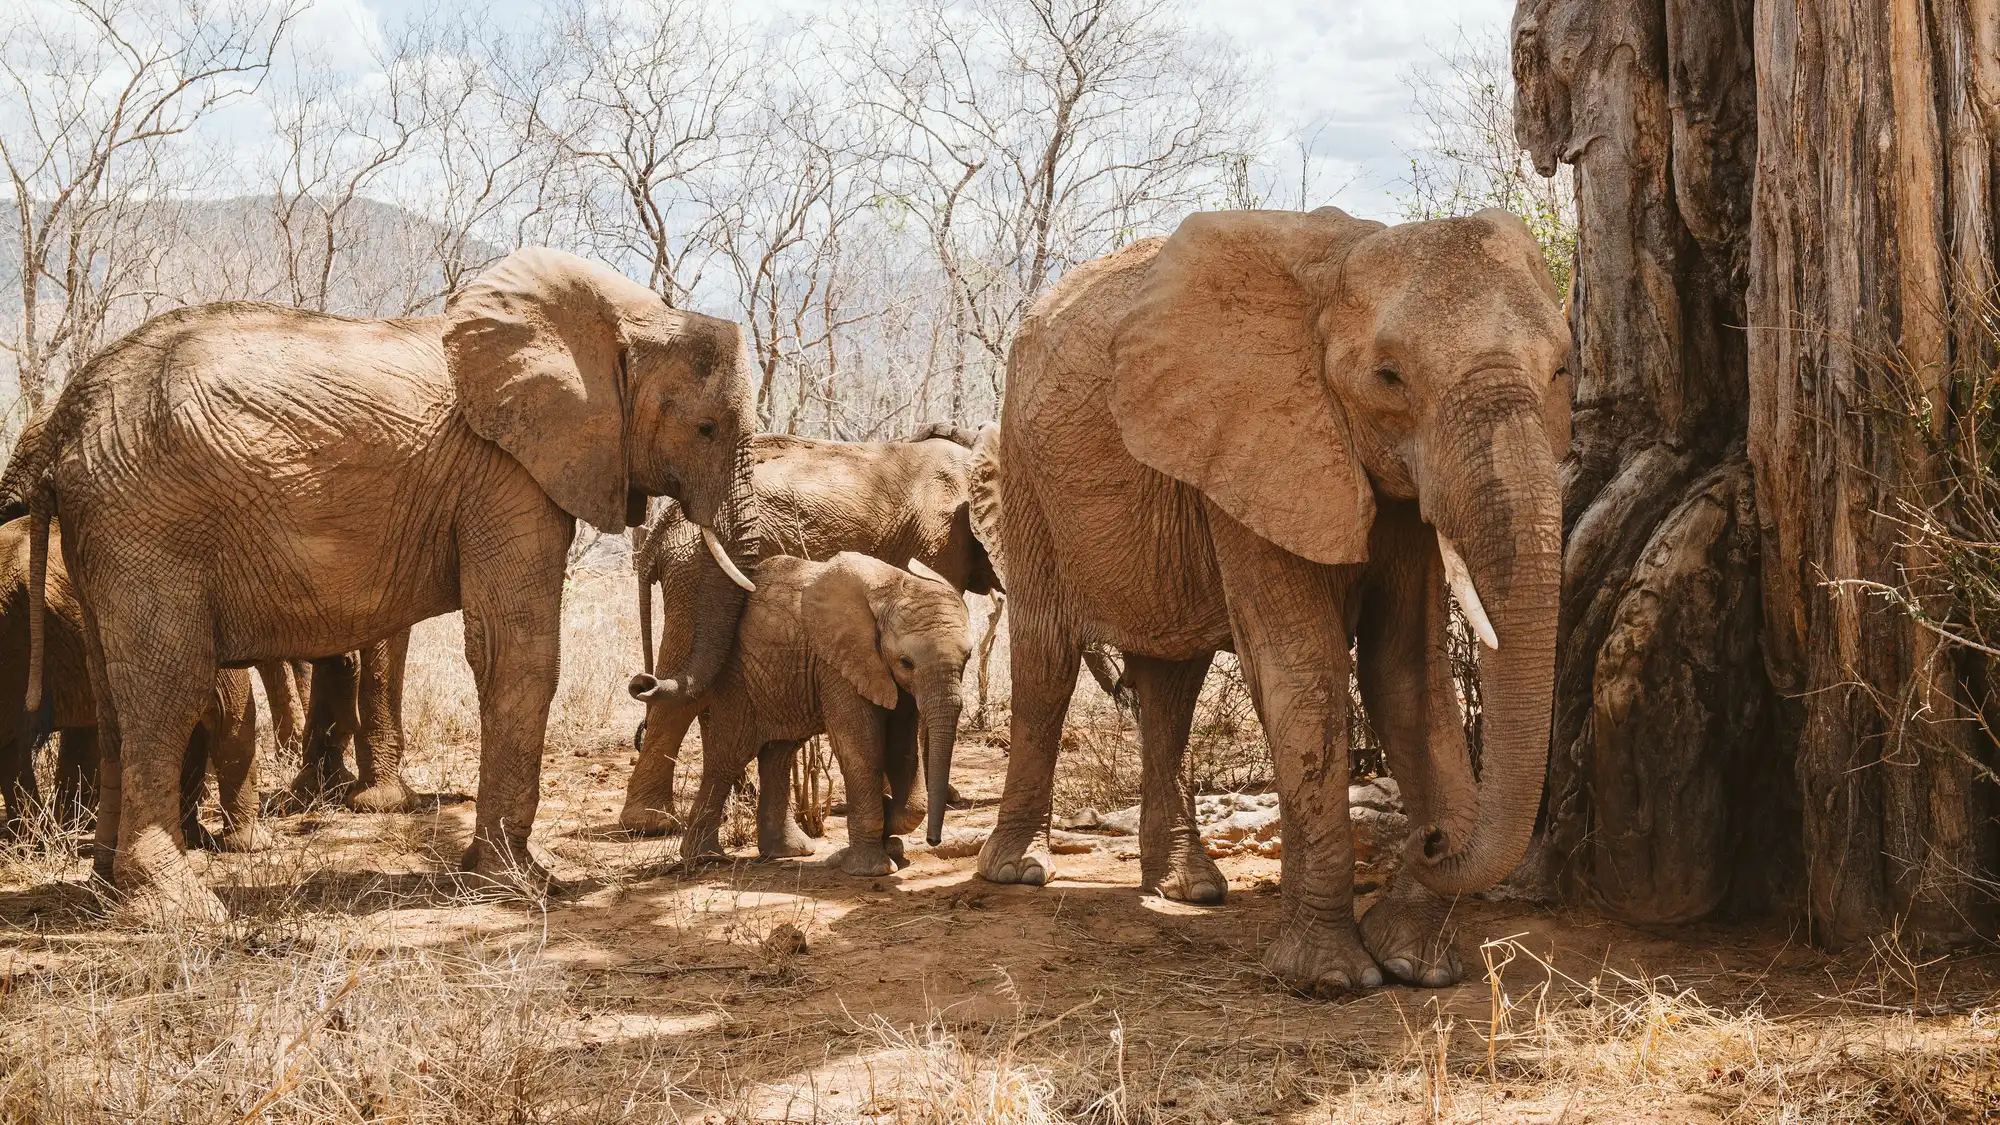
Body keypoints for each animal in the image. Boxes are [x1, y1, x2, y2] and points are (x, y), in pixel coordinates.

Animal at [676, 553, 971, 876]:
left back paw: (788, 851)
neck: (891, 589)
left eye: (968, 657)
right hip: (736, 675)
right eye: (906, 662)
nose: (933, 841)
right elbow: (862, 748)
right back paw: (705, 858)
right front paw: (874, 868)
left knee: (780, 752)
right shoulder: (839, 663)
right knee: (731, 754)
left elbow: (902, 750)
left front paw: (890, 829)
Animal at [973, 207, 1570, 994]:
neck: (1341, 263)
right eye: (1389, 378)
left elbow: (1408, 677)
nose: (1434, 839)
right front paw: (1329, 979)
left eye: (1561, 370)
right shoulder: (1256, 440)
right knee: (1047, 658)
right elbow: (1304, 675)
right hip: (1020, 462)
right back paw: (1017, 872)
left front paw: (1417, 963)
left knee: (1172, 679)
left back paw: (1188, 887)